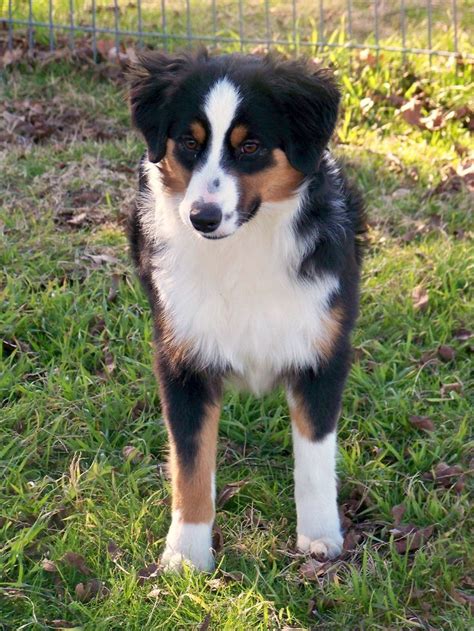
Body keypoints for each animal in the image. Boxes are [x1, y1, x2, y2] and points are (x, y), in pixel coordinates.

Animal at [128, 50, 364, 572]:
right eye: (189, 143)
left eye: (251, 146)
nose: (203, 217)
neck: (243, 245)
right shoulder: (183, 360)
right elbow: (191, 463)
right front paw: (186, 554)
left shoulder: (322, 353)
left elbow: (315, 457)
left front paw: (320, 536)